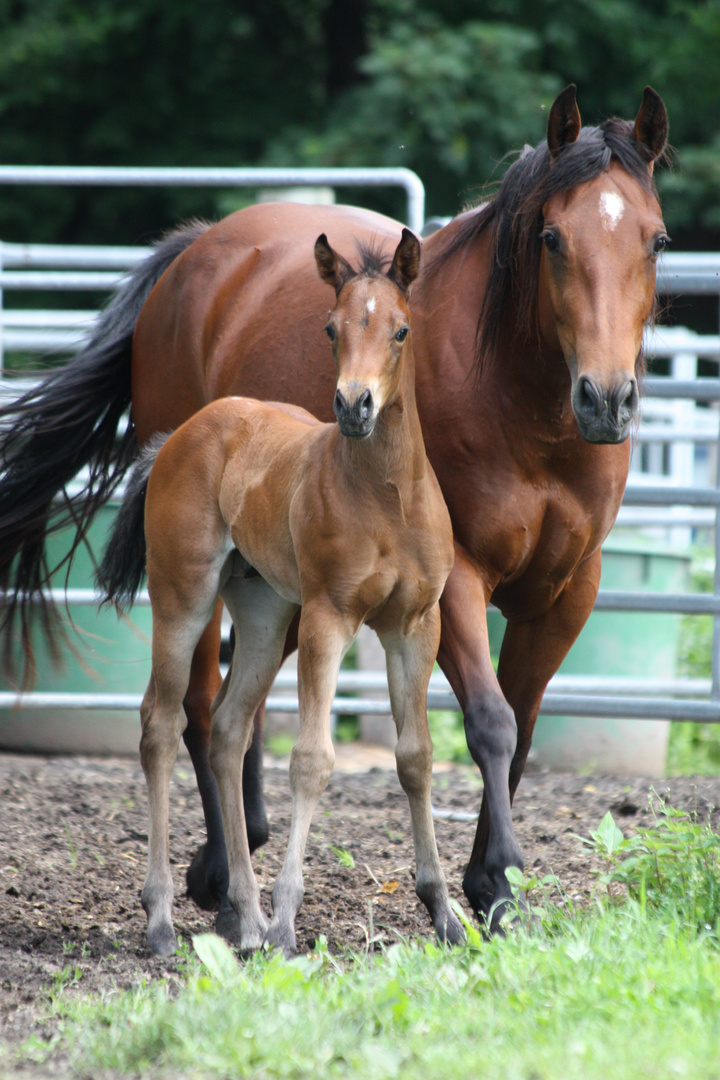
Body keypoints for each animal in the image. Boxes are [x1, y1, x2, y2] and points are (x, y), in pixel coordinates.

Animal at [0, 84, 669, 933]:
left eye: (657, 240)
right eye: (552, 237)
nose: (607, 399)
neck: (524, 407)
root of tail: (194, 251)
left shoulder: (569, 591)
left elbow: (520, 724)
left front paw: (490, 878)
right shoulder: (455, 583)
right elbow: (489, 721)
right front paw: (495, 880)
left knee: (238, 703)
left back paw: (240, 858)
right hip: (195, 573)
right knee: (196, 703)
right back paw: (220, 876)